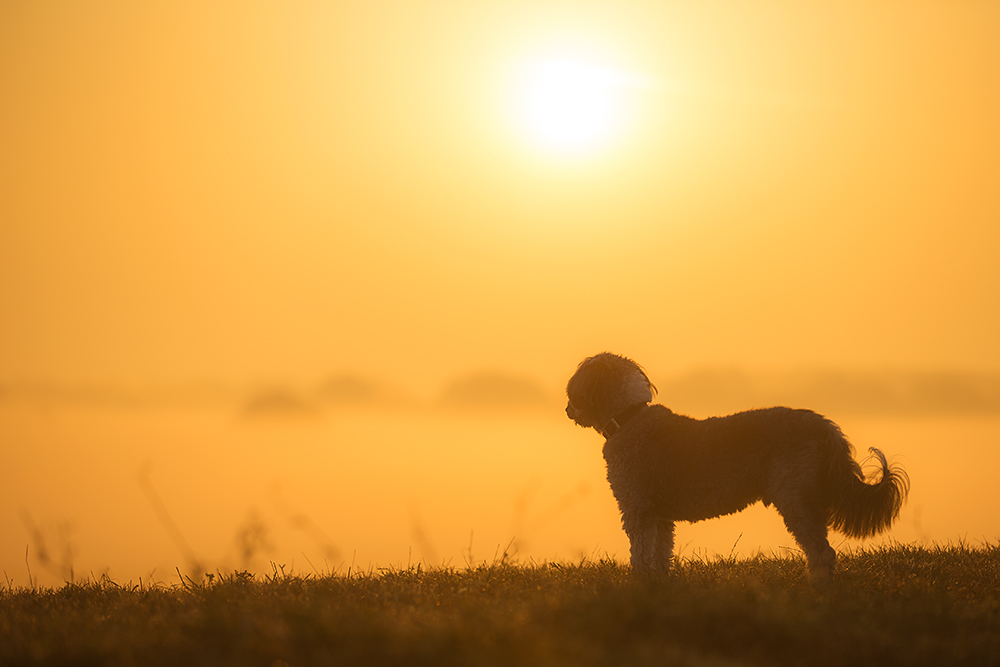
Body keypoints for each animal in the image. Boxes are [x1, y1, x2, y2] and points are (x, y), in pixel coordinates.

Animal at [568, 354, 912, 580]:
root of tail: (826, 429)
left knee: (822, 552)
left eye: (574, 391)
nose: (568, 408)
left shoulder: (637, 509)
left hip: (795, 498)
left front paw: (639, 585)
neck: (628, 417)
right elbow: (660, 553)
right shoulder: (660, 516)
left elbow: (640, 553)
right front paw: (658, 584)